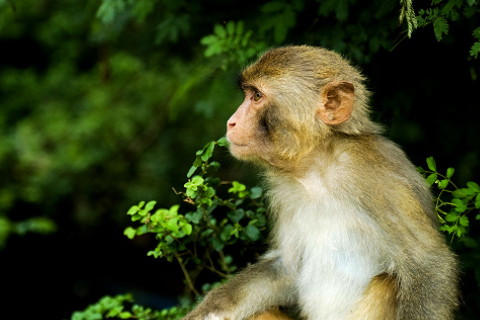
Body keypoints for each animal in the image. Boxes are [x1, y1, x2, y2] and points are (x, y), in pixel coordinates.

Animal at [182, 45, 460, 320]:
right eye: (248, 94)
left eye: (257, 96)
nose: (231, 121)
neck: (318, 168)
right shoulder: (284, 191)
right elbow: (287, 269)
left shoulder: (378, 178)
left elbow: (429, 267)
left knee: (387, 281)